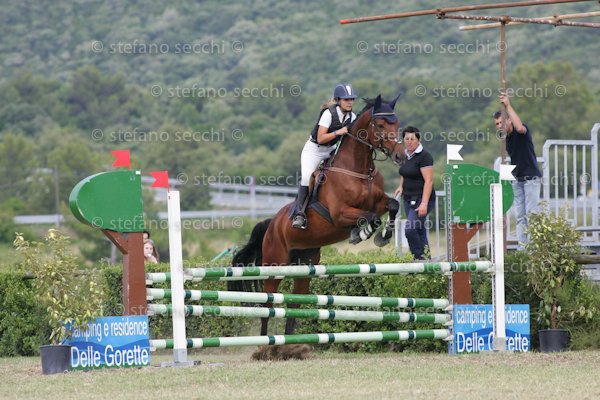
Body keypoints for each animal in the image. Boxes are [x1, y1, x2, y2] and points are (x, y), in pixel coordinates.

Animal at [231, 94, 404, 340]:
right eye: (380, 125)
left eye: (396, 124)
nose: (401, 155)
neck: (359, 170)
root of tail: (272, 224)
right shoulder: (339, 213)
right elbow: (371, 217)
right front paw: (361, 234)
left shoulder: (379, 203)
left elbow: (393, 205)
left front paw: (382, 236)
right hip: (275, 265)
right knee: (268, 304)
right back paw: (266, 342)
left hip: (305, 265)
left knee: (295, 303)